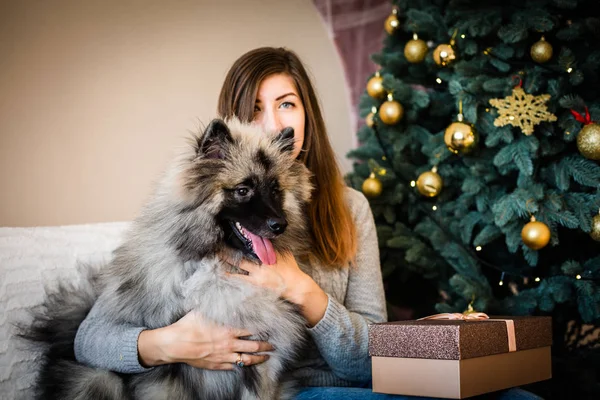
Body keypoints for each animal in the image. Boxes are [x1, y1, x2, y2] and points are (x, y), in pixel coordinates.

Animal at [19, 117, 314, 398]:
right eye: (243, 190)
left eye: (275, 190)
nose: (280, 225)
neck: (216, 266)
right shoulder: (169, 374)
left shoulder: (263, 368)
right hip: (98, 379)